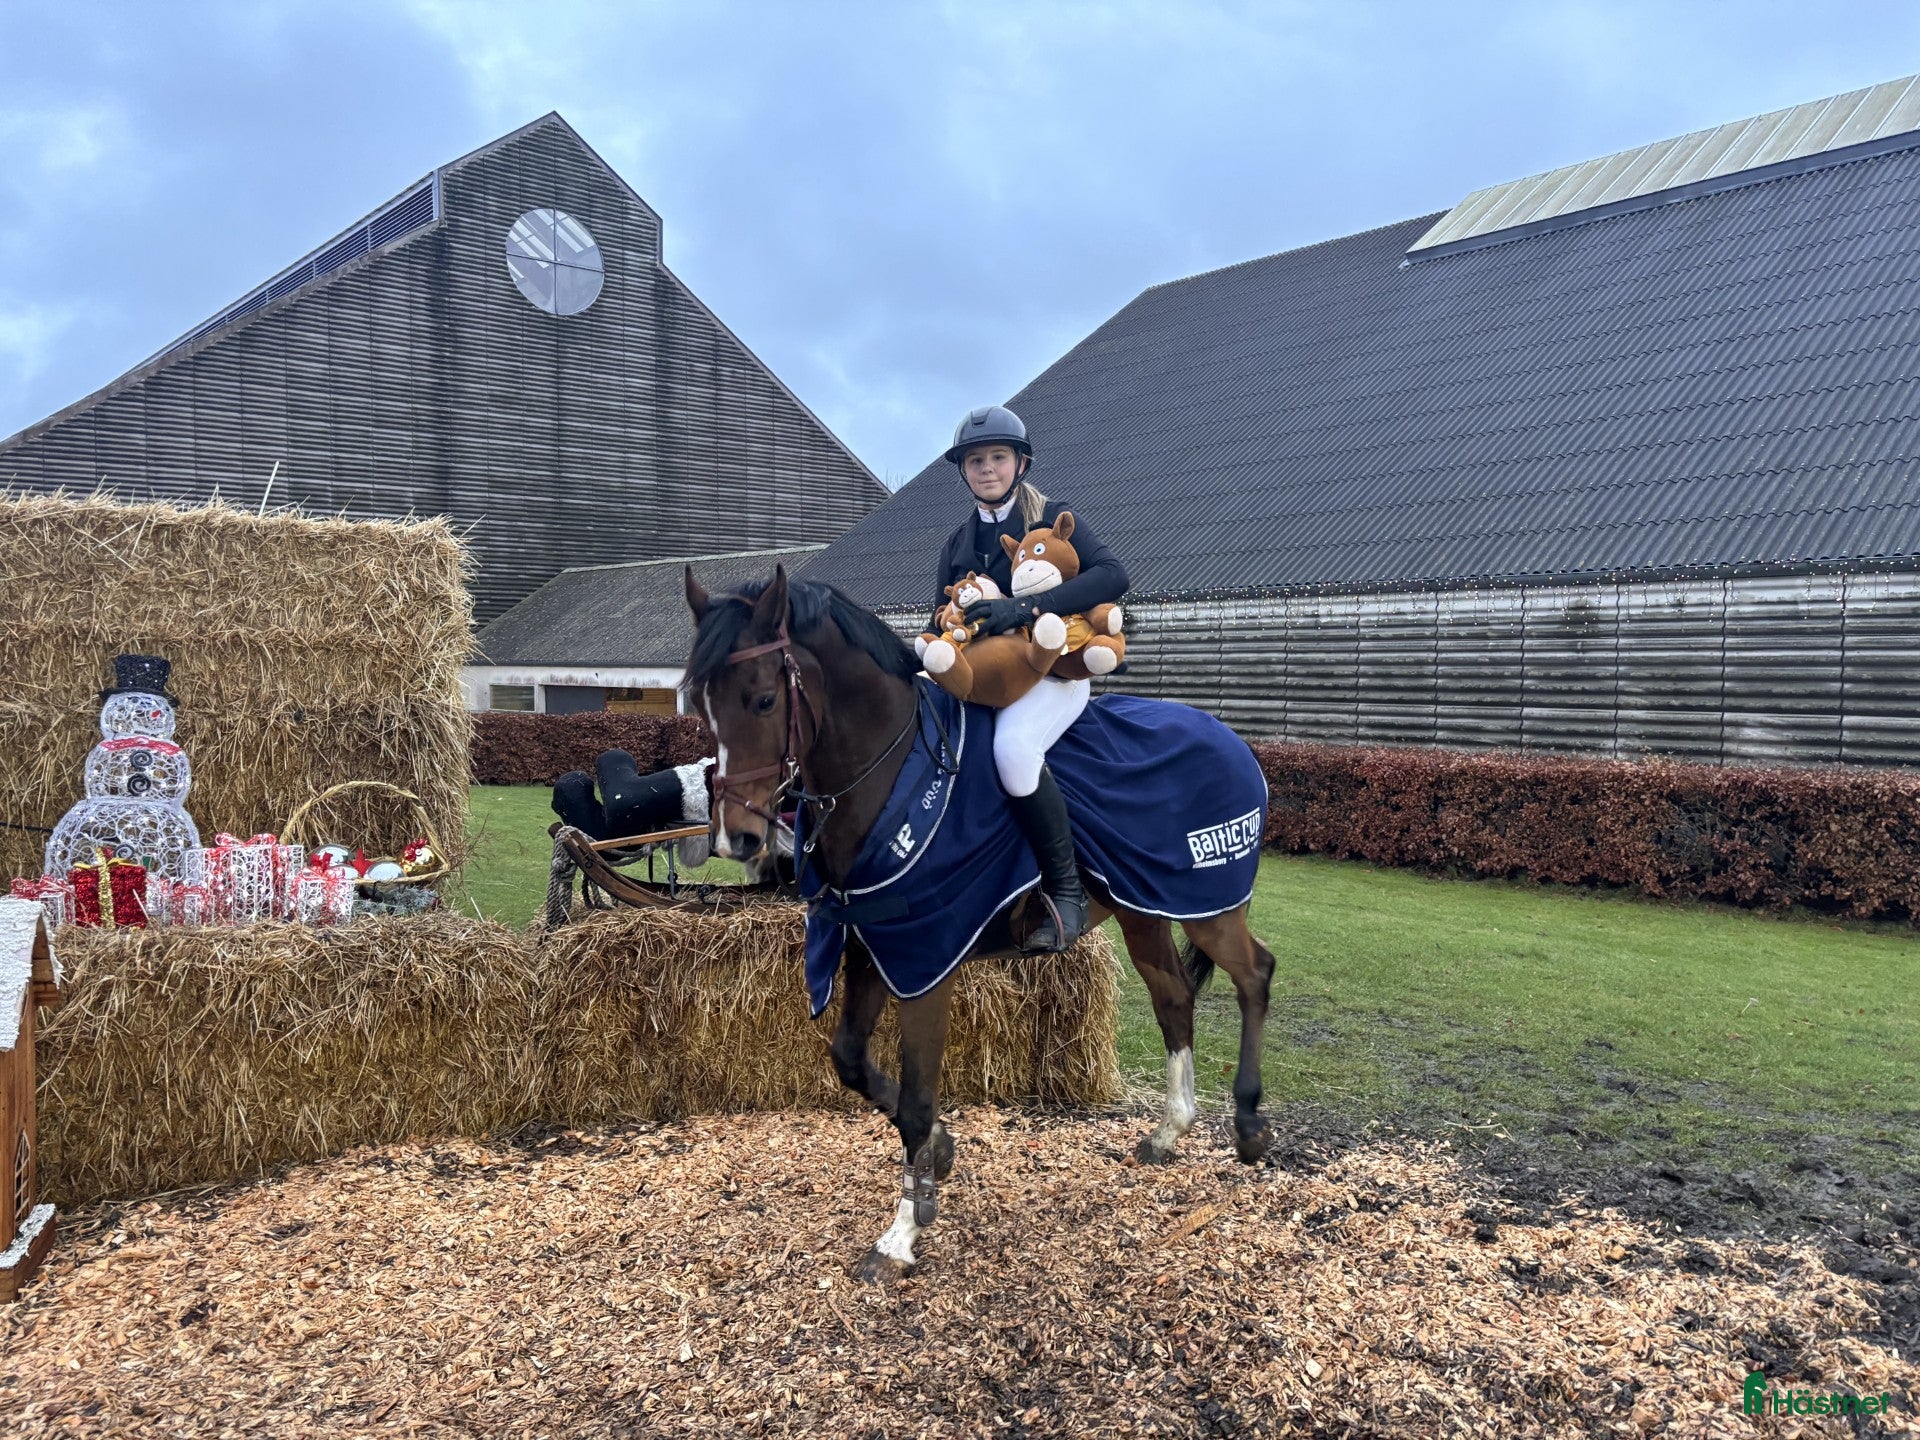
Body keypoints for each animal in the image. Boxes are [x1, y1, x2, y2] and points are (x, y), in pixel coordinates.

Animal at [684, 564, 1277, 1282]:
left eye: (765, 700)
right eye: (699, 706)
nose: (736, 839)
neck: (892, 773)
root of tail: (1230, 739)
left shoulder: (927, 965)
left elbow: (915, 1100)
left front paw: (902, 1233)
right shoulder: (875, 947)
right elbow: (850, 1061)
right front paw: (939, 1155)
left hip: (1210, 907)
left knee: (1254, 975)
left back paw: (1248, 1124)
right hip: (1144, 910)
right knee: (1173, 997)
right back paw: (1170, 1129)